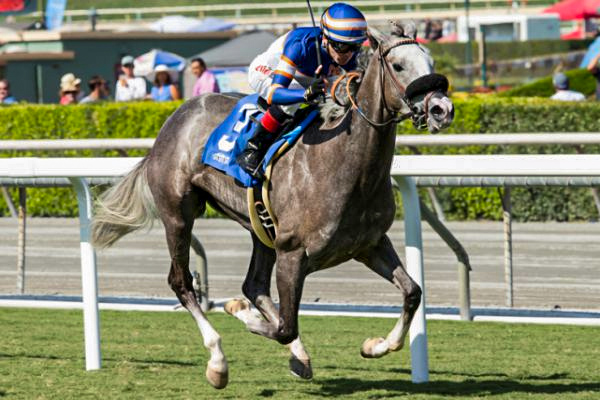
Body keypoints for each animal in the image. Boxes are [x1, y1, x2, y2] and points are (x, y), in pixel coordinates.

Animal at [91, 21, 452, 388]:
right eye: (398, 66)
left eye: (430, 61)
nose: (442, 109)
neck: (345, 164)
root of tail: (174, 118)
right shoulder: (293, 253)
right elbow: (285, 326)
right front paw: (240, 314)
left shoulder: (368, 244)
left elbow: (412, 292)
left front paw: (375, 345)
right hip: (178, 214)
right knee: (182, 282)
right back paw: (218, 360)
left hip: (259, 226)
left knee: (254, 284)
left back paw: (298, 356)